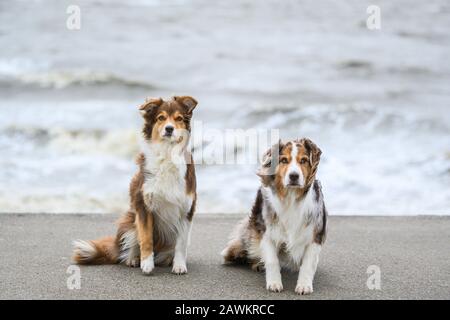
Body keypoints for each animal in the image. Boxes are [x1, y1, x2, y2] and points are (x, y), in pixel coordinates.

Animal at [73, 95, 198, 276]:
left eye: (179, 119)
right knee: (129, 246)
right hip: (129, 220)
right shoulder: (143, 205)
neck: (167, 153)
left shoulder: (186, 209)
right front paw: (146, 264)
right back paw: (133, 259)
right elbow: (145, 238)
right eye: (161, 118)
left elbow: (181, 243)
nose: (169, 129)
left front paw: (179, 266)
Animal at [221, 139, 326, 294]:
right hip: (253, 231)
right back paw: (258, 263)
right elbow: (272, 260)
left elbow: (308, 263)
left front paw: (304, 285)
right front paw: (274, 283)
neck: (291, 199)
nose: (294, 176)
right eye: (284, 160)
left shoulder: (315, 234)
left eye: (304, 160)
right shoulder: (267, 232)